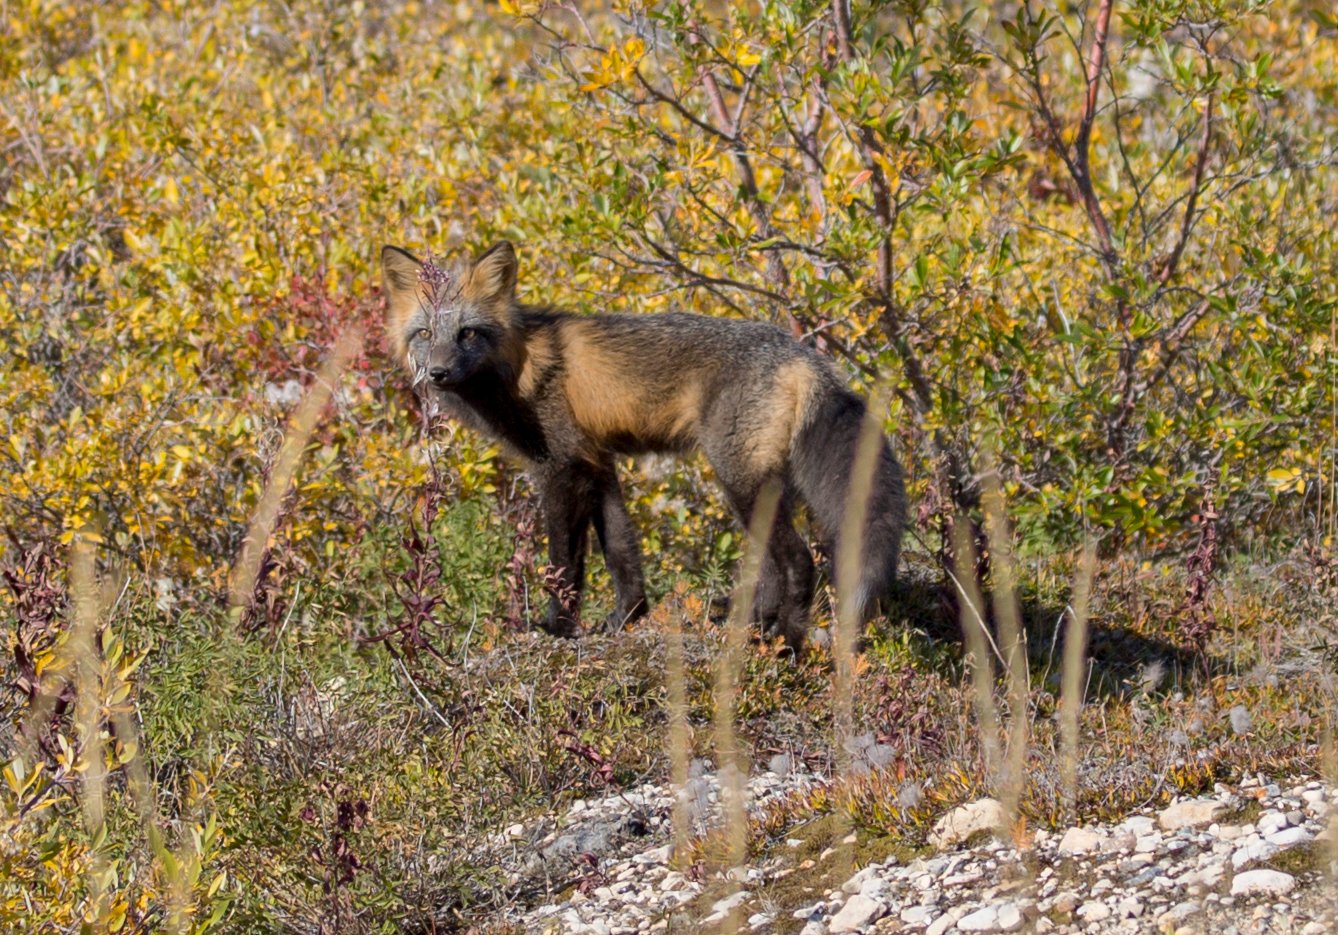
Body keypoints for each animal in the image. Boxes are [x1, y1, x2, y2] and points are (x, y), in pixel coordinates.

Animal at [382, 240, 909, 650]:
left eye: (467, 332)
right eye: (425, 334)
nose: (438, 373)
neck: (520, 367)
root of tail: (803, 354)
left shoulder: (562, 468)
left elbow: (565, 564)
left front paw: (558, 627)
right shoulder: (598, 463)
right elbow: (621, 551)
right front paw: (625, 619)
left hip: (739, 479)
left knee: (799, 563)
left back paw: (787, 641)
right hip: (759, 485)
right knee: (772, 569)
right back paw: (755, 627)